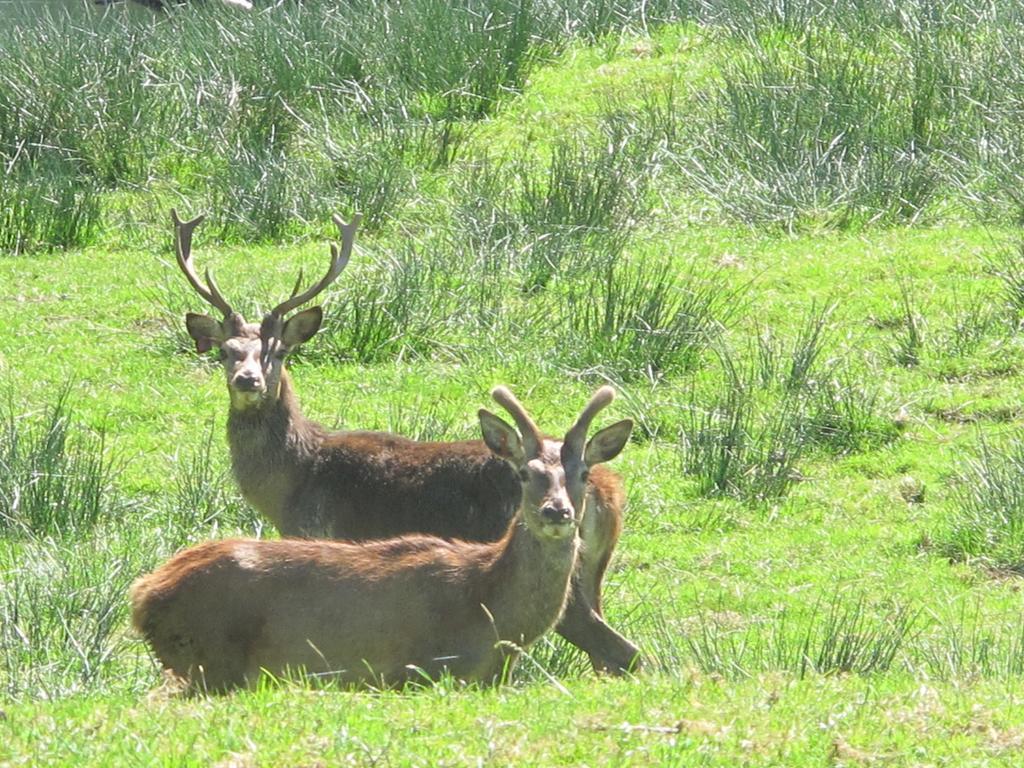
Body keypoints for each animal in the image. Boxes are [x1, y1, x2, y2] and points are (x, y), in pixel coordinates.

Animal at [134, 387, 630, 696]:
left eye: (580, 473)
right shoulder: (419, 669)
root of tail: (143, 596)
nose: (556, 512)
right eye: (526, 473)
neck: (493, 614)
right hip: (209, 660)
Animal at [173, 208, 643, 671]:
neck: (295, 477)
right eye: (226, 351)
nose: (248, 380)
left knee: (620, 650)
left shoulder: (313, 532)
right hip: (593, 573)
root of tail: (608, 491)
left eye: (278, 352)